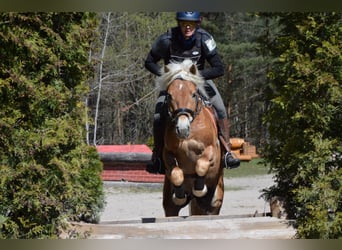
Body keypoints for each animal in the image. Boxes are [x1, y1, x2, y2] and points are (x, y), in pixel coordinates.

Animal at [158, 59, 224, 216]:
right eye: (169, 95)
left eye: (193, 94)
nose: (182, 129)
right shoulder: (167, 153)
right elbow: (176, 173)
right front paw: (180, 195)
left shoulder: (211, 149)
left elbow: (201, 165)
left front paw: (200, 188)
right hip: (170, 206)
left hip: (215, 201)